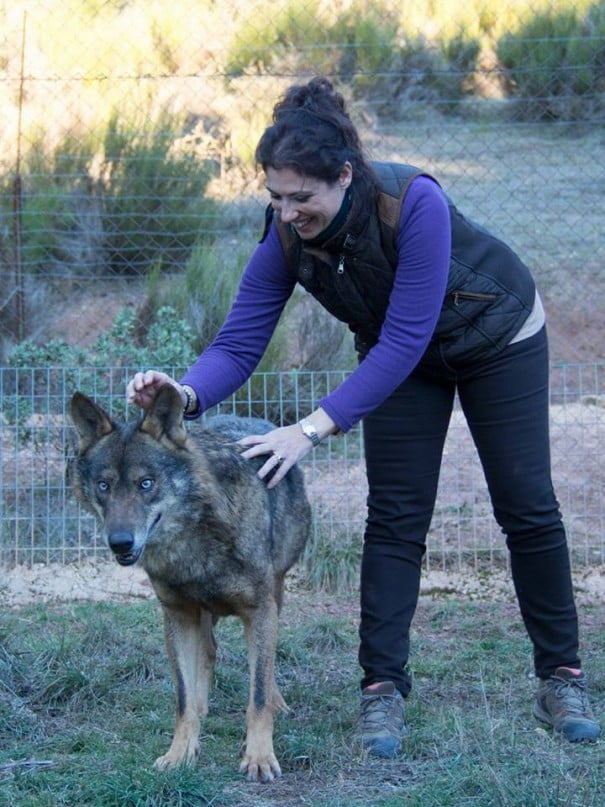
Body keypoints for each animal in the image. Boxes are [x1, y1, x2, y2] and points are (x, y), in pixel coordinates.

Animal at [68, 386, 310, 784]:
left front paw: (259, 757)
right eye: (104, 486)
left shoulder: (259, 610)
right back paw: (203, 705)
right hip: (203, 615)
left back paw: (277, 702)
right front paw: (181, 753)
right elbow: (182, 698)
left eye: (146, 483)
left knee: (264, 666)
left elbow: (257, 694)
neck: (193, 545)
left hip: (274, 595)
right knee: (208, 652)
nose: (119, 542)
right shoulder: (178, 615)